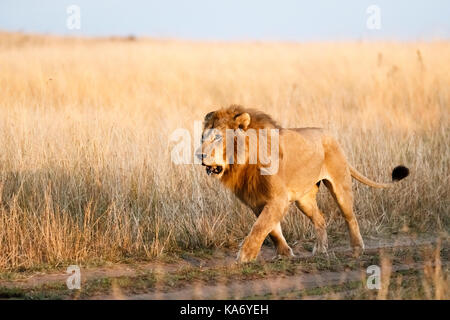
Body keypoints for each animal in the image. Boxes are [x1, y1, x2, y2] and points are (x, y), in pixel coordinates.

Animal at [195, 105, 410, 262]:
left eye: (217, 137)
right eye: (202, 137)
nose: (199, 155)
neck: (241, 163)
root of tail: (331, 136)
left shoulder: (278, 198)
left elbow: (259, 228)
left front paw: (245, 256)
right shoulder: (257, 201)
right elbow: (272, 230)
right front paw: (285, 254)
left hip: (340, 187)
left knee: (350, 218)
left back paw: (357, 249)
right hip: (304, 199)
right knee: (320, 219)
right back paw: (321, 249)